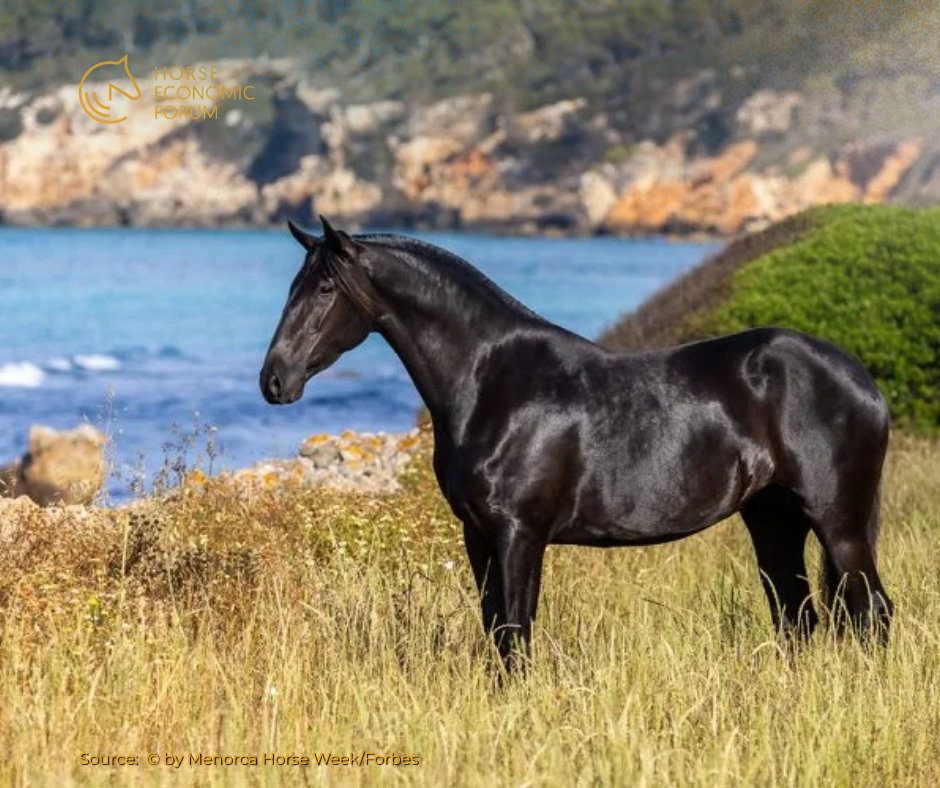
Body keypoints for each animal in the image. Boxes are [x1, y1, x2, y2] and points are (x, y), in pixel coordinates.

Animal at [260, 217, 894, 667]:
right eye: (292, 285)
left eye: (324, 288)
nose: (274, 380)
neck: (492, 381)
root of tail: (861, 381)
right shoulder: (478, 534)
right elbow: (496, 631)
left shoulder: (520, 533)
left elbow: (516, 634)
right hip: (773, 518)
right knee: (798, 615)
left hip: (837, 523)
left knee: (872, 613)